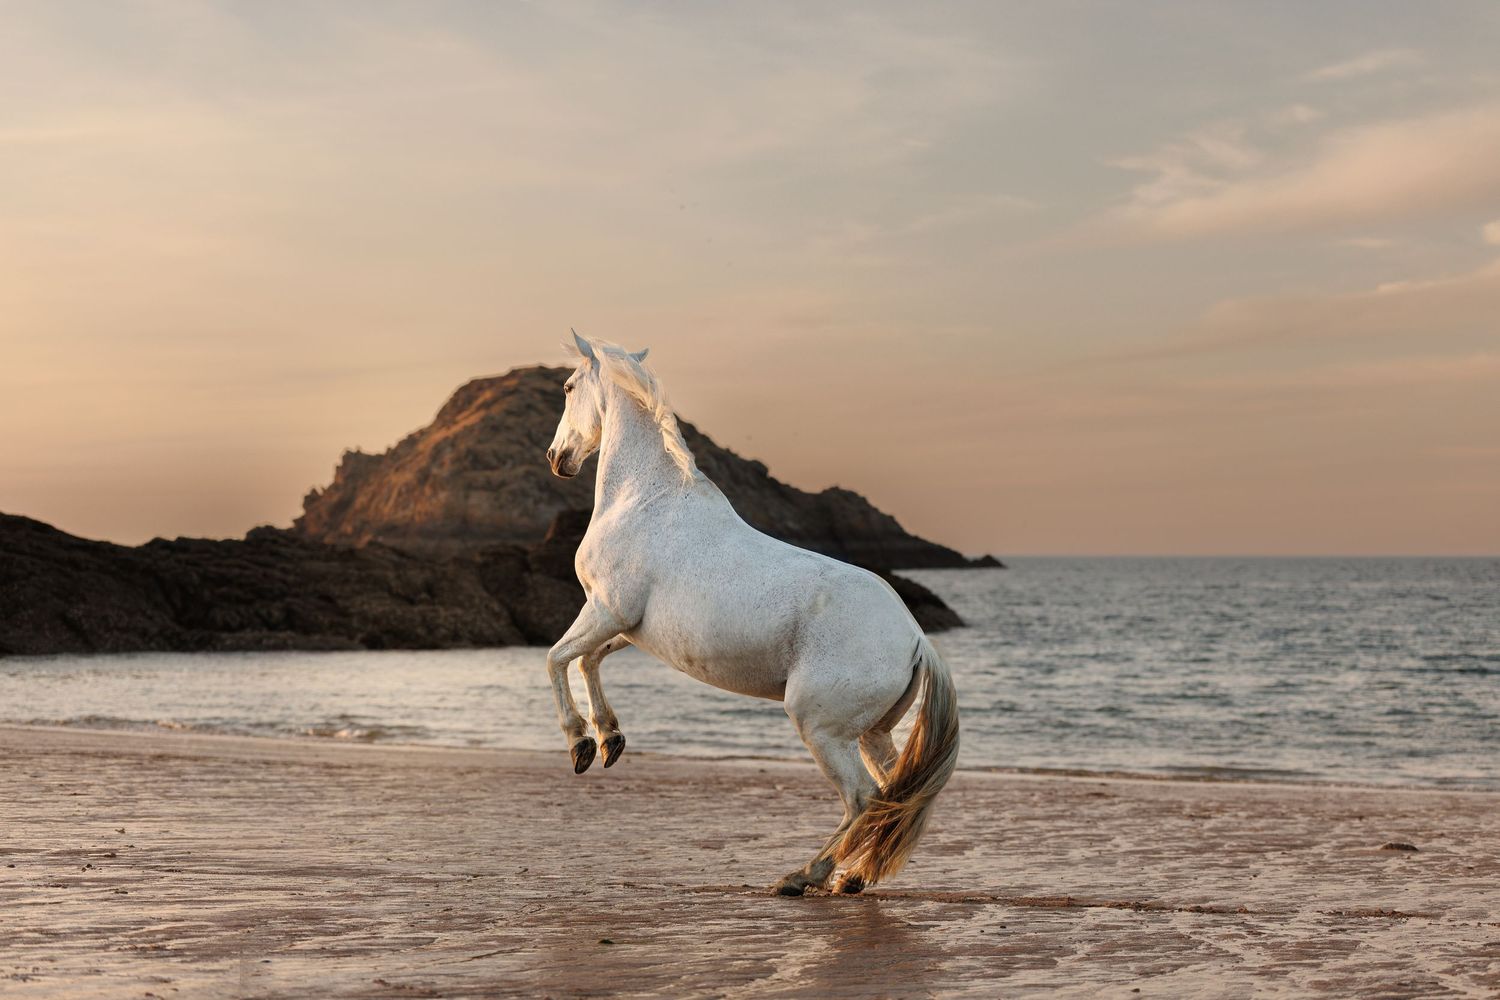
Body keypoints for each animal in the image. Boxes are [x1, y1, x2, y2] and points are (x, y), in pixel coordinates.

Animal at [541, 330, 960, 896]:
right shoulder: (628, 628)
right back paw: (852, 878)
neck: (643, 501)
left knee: (863, 798)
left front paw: (581, 745)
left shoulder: (606, 610)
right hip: (872, 733)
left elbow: (557, 658)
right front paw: (610, 739)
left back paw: (804, 876)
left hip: (821, 728)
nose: (556, 457)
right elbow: (587, 660)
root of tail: (916, 639)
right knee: (897, 795)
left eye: (567, 387)